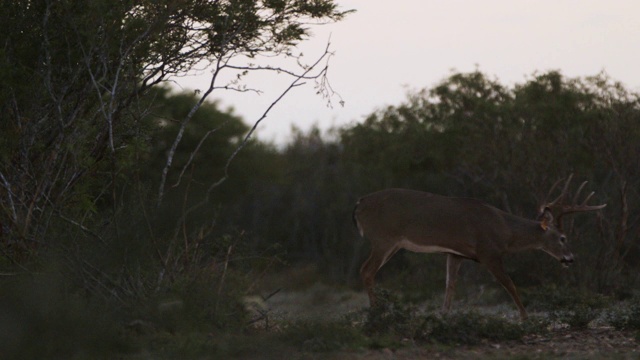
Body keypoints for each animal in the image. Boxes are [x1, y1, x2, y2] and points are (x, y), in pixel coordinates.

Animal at [352, 176, 608, 320]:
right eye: (563, 238)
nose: (570, 258)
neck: (505, 231)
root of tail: (359, 204)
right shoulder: (489, 252)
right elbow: (509, 284)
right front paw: (526, 318)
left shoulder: (455, 253)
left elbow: (450, 286)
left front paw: (443, 316)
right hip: (383, 238)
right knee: (366, 270)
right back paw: (377, 313)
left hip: (391, 244)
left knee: (368, 271)